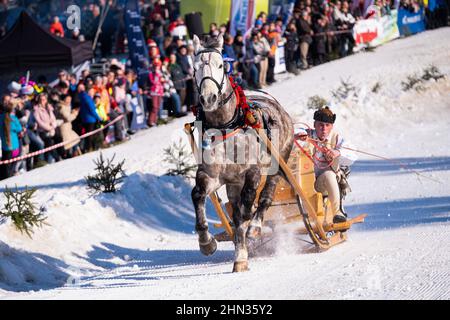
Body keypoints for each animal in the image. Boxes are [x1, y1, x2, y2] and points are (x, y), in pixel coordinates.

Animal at [191, 33, 294, 272]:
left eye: (221, 65)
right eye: (195, 67)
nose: (208, 98)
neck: (226, 126)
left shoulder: (252, 172)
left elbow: (247, 209)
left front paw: (243, 251)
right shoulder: (211, 174)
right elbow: (198, 195)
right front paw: (207, 243)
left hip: (279, 160)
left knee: (265, 196)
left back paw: (255, 227)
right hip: (233, 184)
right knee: (236, 209)